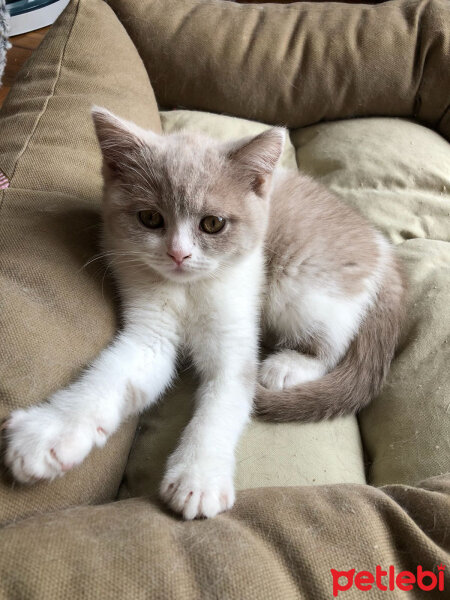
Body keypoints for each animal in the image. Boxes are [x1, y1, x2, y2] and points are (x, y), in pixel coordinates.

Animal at [2, 108, 404, 520]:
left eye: (213, 224)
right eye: (150, 218)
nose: (178, 254)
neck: (188, 290)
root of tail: (384, 250)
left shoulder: (235, 333)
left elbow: (222, 404)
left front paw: (198, 477)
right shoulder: (151, 332)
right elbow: (112, 375)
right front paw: (49, 432)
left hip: (297, 284)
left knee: (331, 343)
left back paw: (288, 366)